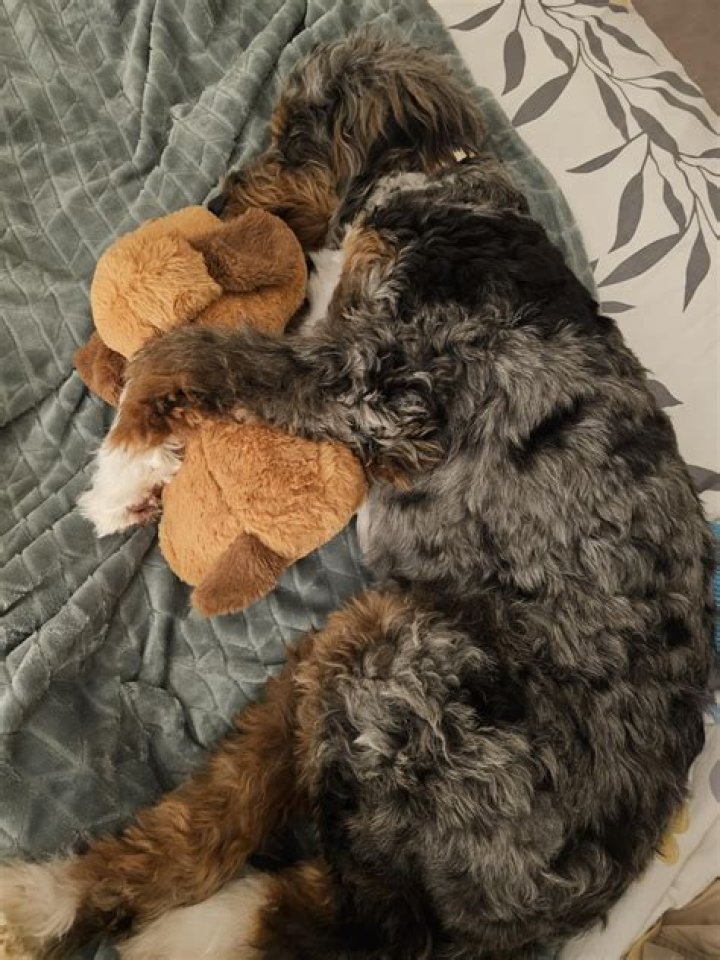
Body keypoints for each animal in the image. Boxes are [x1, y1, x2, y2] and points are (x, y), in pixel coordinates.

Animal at [1, 32, 713, 960]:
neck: (437, 186)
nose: (217, 200)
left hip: (396, 656)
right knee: (218, 831)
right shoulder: (332, 338)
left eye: (295, 134)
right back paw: (52, 904)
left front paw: (124, 463)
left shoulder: (385, 385)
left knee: (299, 901)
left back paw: (137, 922)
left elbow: (194, 348)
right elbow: (230, 345)